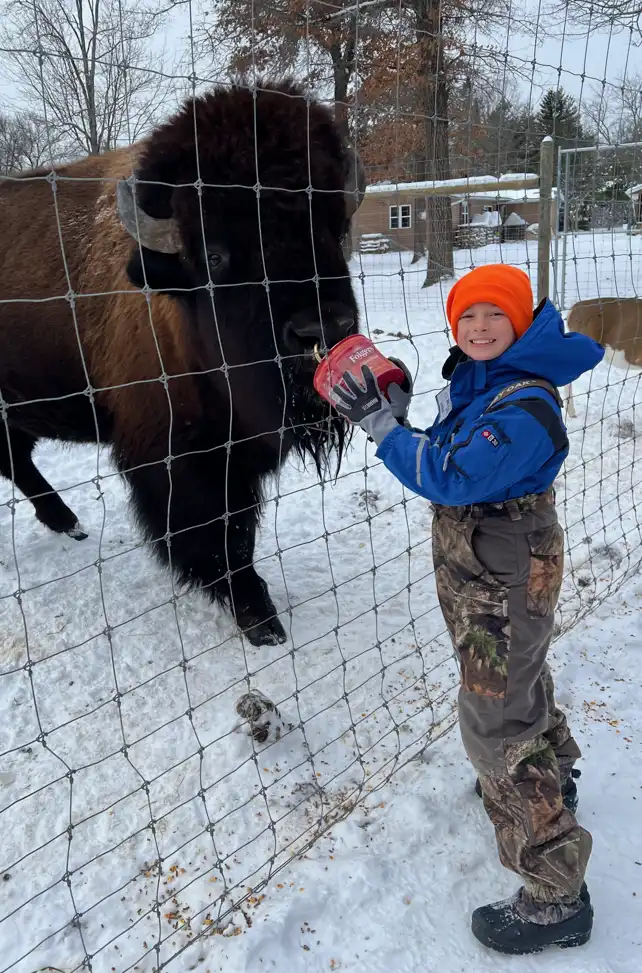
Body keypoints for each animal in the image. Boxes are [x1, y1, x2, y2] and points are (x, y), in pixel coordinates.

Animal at [0, 80, 365, 646]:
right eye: (215, 256)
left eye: (333, 231)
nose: (321, 331)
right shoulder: (174, 453)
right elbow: (212, 532)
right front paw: (259, 618)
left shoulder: (236, 452)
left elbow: (238, 527)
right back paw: (70, 522)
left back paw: (70, 524)